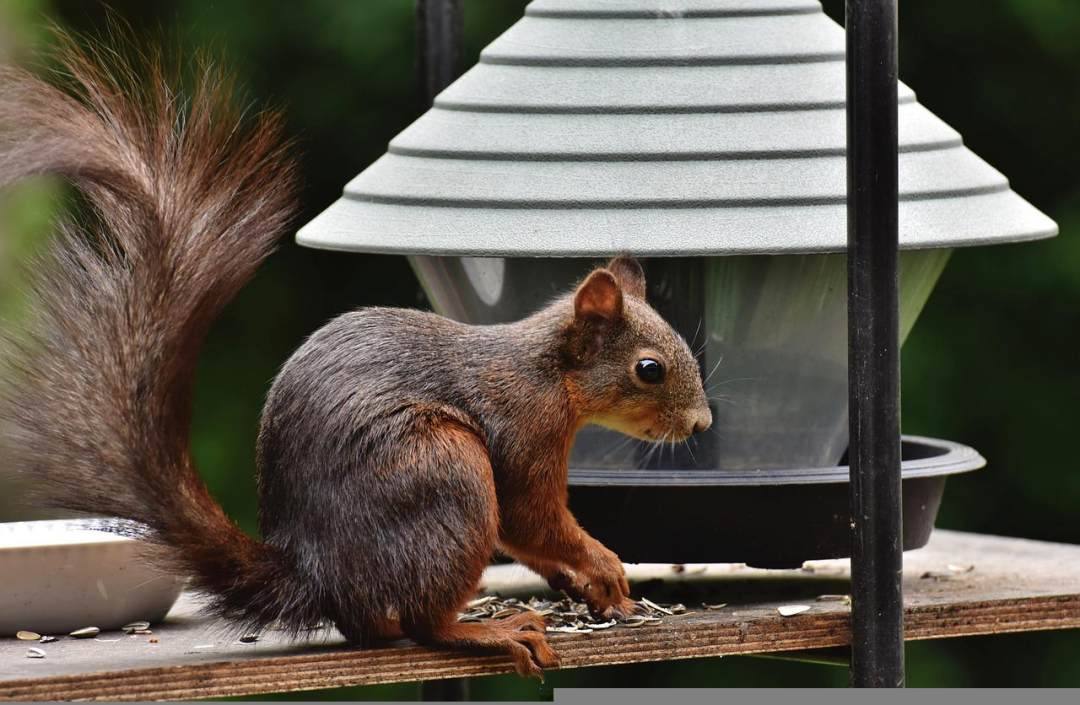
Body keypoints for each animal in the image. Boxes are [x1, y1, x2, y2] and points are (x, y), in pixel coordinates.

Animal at [0, 35, 712, 673]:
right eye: (649, 369)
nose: (700, 423)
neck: (548, 375)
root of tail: (322, 578)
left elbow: (523, 537)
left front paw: (581, 584)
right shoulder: (521, 434)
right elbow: (531, 518)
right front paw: (603, 565)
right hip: (444, 472)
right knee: (426, 622)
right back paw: (489, 629)